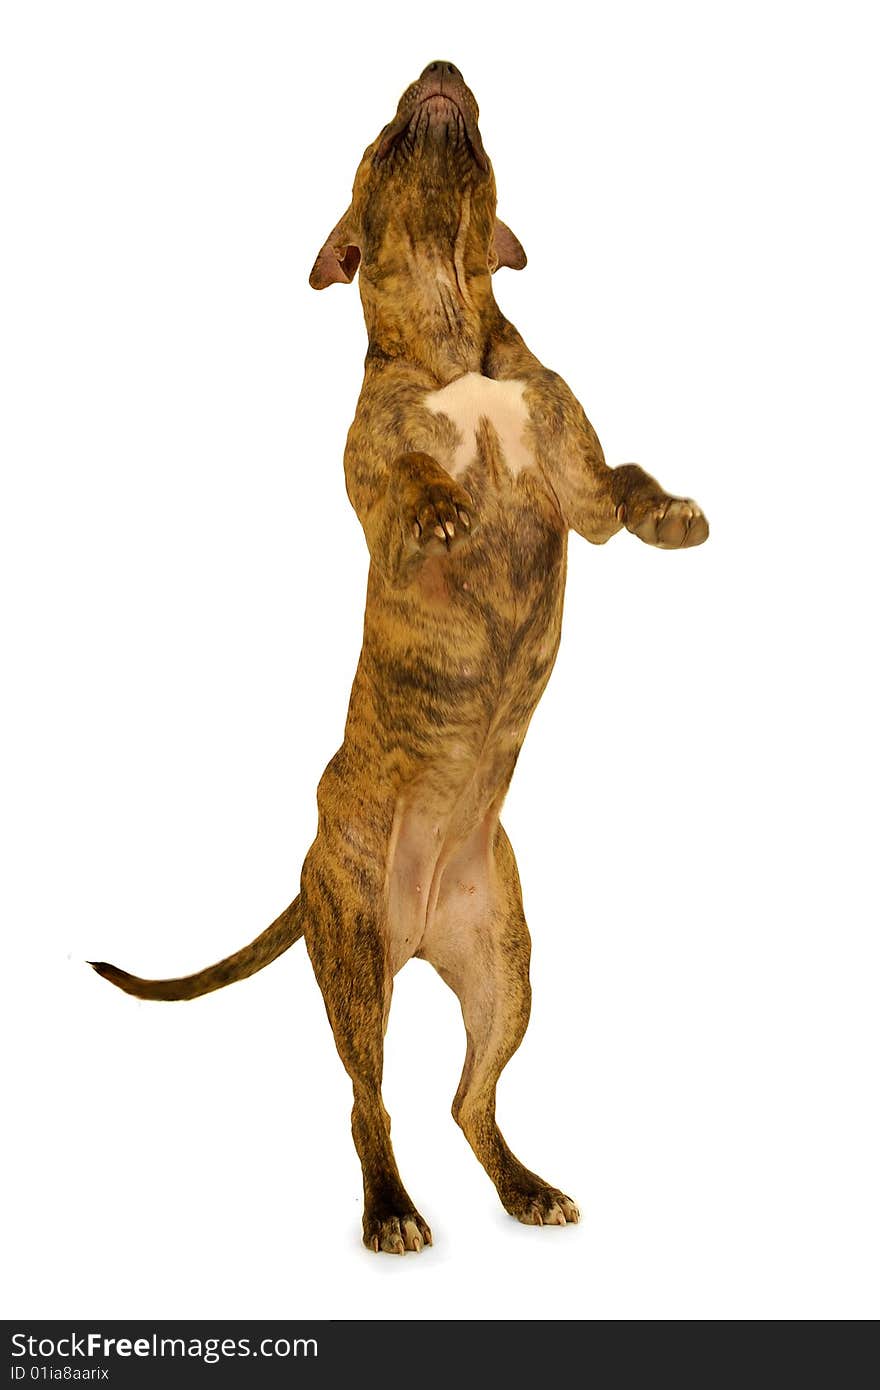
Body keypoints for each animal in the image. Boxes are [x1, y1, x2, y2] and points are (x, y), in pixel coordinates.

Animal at [91, 62, 706, 1262]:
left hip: (505, 968)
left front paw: (672, 514)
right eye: (379, 138)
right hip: (353, 958)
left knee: (469, 1100)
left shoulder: (579, 490)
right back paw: (390, 1208)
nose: (437, 70)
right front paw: (444, 500)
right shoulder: (384, 510)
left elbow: (626, 481)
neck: (453, 334)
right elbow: (418, 489)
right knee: (367, 1100)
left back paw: (525, 1188)